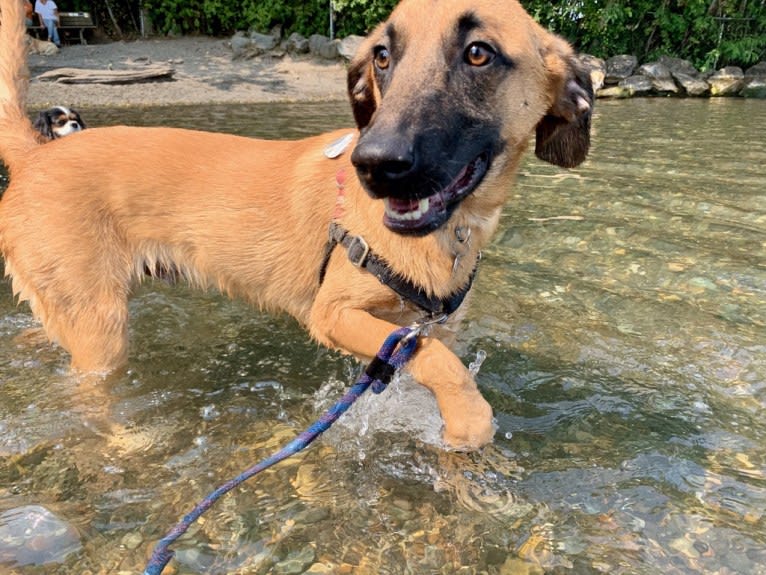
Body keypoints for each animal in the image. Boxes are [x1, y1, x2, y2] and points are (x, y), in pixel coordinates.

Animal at [0, 0, 592, 450]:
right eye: (382, 56)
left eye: (478, 53)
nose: (374, 162)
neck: (454, 231)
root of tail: (35, 156)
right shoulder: (335, 315)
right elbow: (445, 364)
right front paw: (470, 421)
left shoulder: (423, 327)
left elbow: (435, 358)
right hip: (100, 330)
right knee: (89, 400)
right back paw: (127, 439)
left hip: (75, 311)